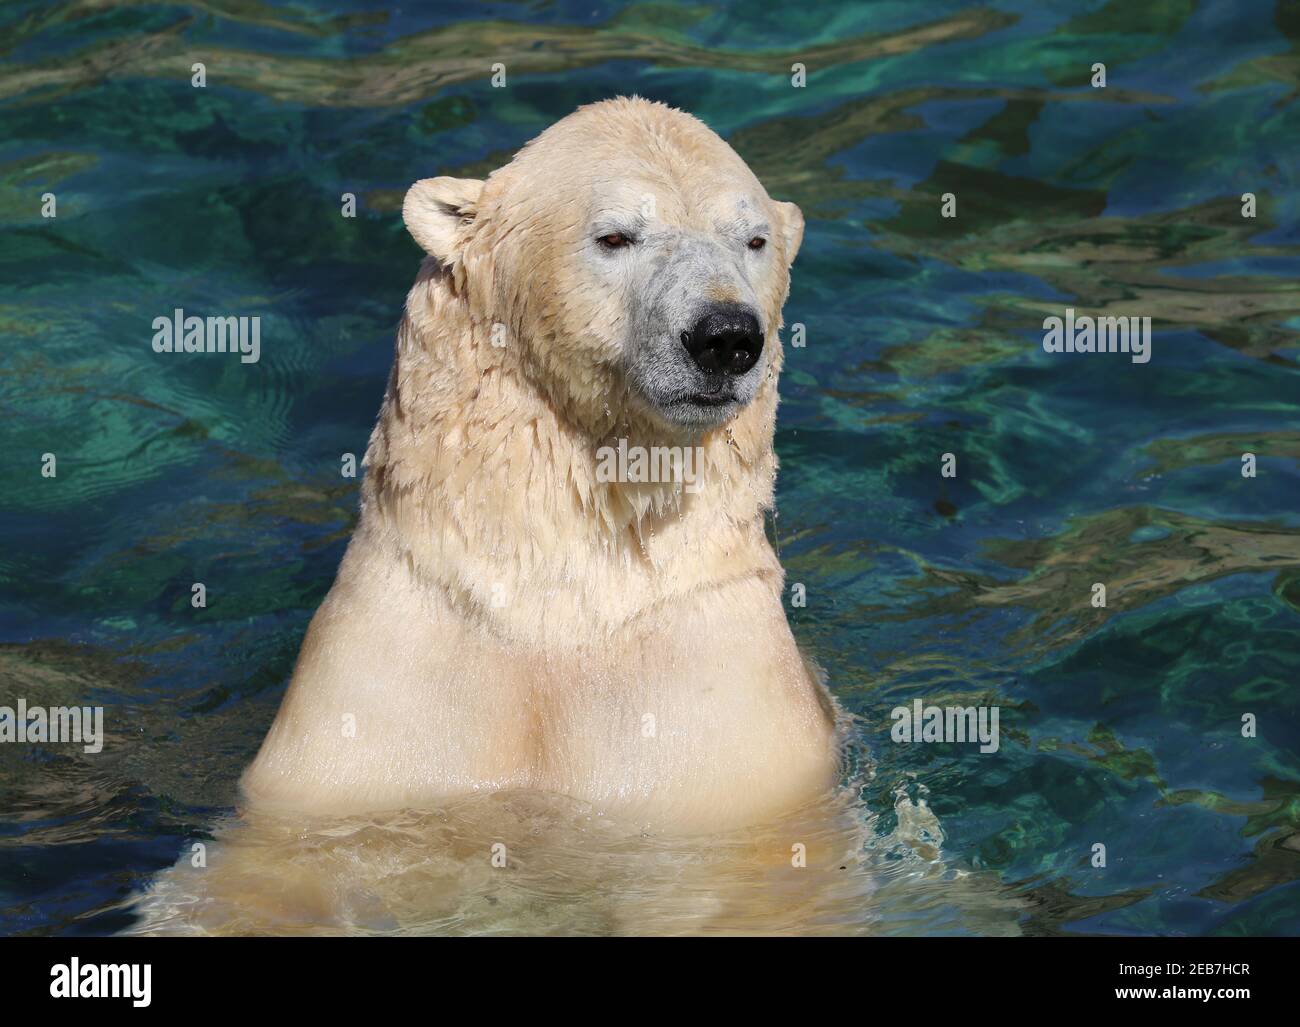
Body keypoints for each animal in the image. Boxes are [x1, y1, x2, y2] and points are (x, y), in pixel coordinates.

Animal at [239, 96, 837, 837]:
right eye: (615, 236)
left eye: (753, 240)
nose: (724, 337)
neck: (556, 598)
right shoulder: (380, 695)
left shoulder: (715, 702)